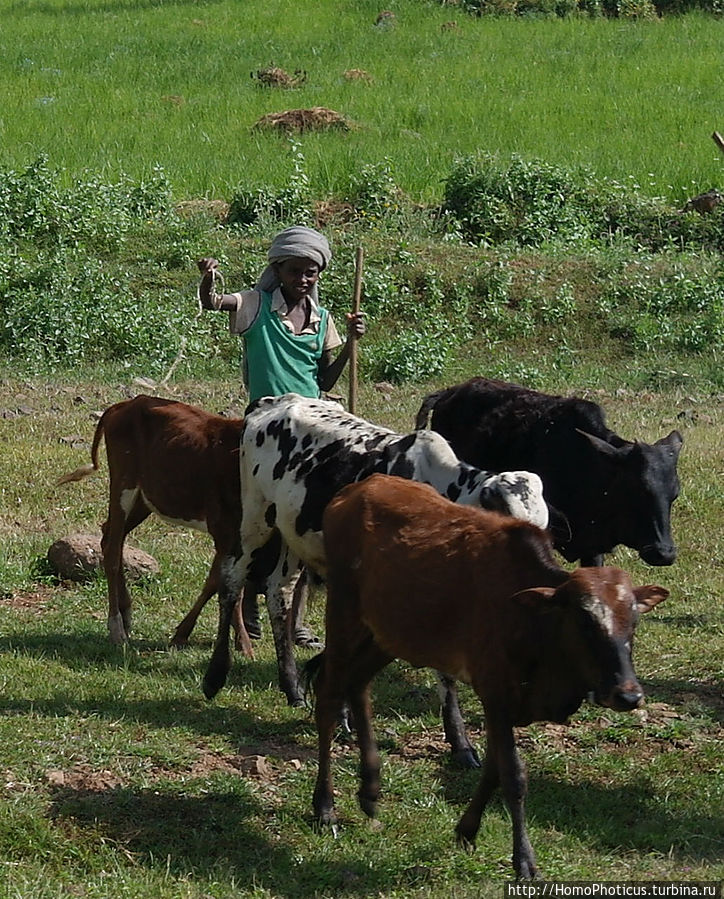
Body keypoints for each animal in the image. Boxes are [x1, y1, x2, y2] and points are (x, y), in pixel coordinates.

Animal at [201, 396, 544, 768]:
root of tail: (275, 401)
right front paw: (460, 744)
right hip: (255, 519)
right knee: (232, 580)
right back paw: (214, 677)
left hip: (293, 534)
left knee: (281, 593)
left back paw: (292, 688)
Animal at [308, 474, 672, 884]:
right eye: (584, 621)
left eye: (634, 621)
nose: (628, 695)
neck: (531, 621)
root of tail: (356, 489)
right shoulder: (495, 693)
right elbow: (513, 775)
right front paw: (524, 859)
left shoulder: (505, 706)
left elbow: (494, 769)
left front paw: (466, 830)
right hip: (344, 614)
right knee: (328, 695)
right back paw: (325, 806)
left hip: (390, 633)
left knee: (358, 684)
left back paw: (370, 791)